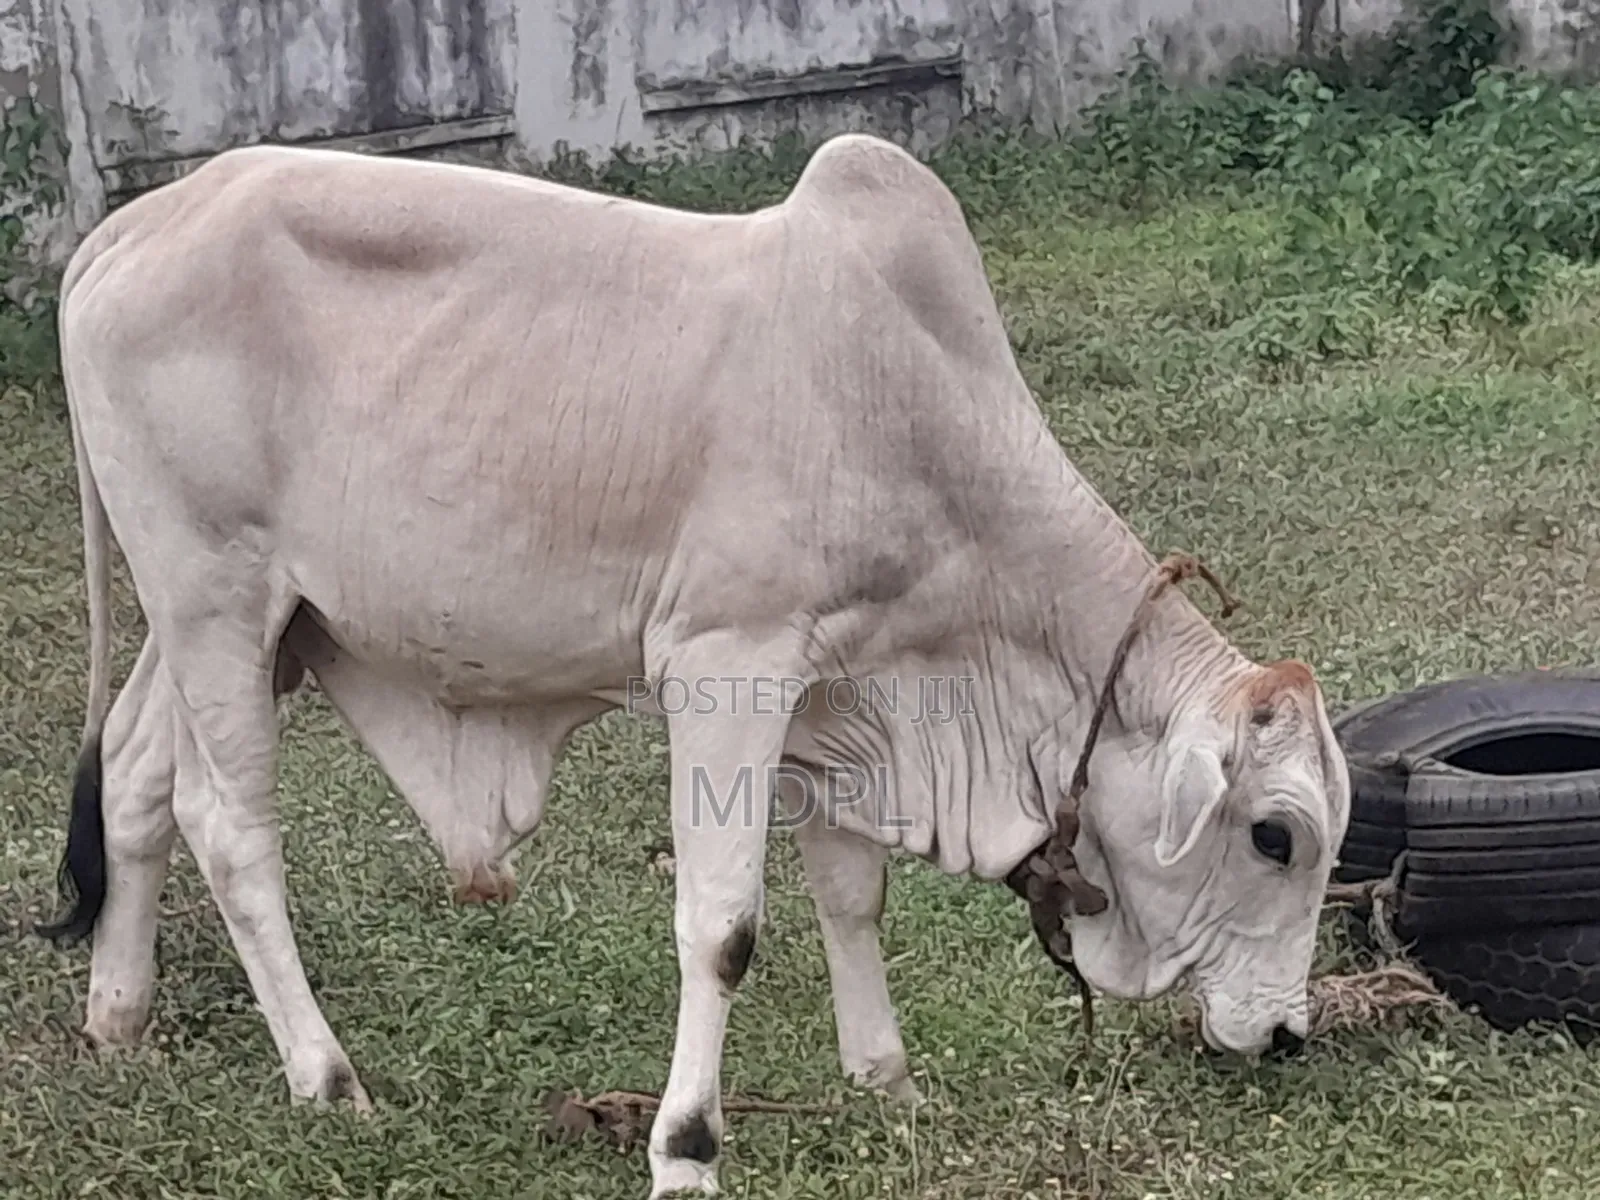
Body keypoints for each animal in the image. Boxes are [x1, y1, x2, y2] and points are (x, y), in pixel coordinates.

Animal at [38, 132, 1350, 1198]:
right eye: (1273, 836)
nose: (1287, 1036)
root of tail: (124, 229)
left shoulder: (842, 694)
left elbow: (851, 894)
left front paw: (885, 1080)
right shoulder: (730, 665)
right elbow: (722, 928)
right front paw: (685, 1150)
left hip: (242, 621)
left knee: (139, 777)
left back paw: (117, 1016)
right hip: (214, 594)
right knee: (229, 827)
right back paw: (324, 1077)